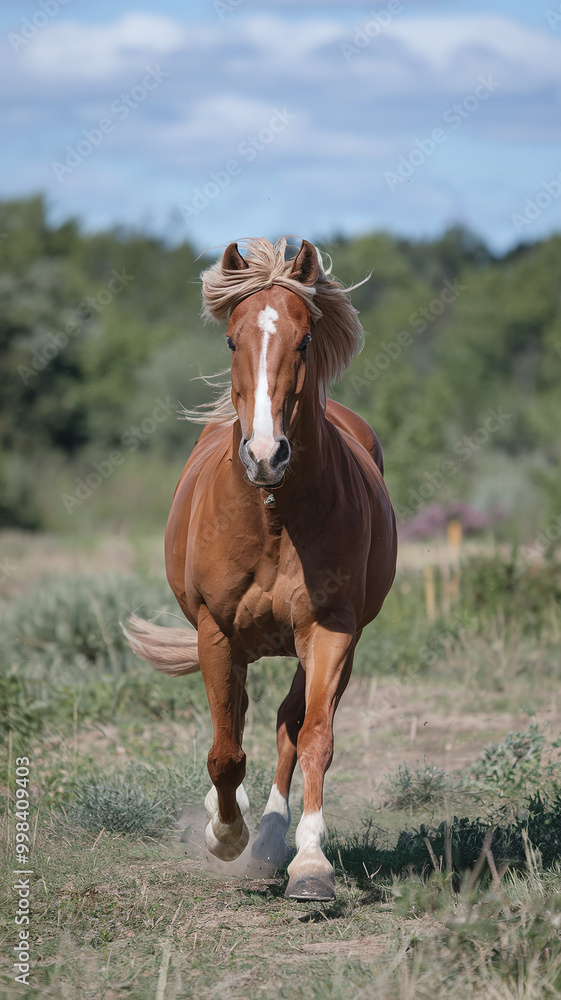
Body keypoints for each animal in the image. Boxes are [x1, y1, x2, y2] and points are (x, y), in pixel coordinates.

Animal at [123, 237, 397, 901]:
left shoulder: (330, 629)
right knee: (242, 721)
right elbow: (225, 750)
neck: (274, 516)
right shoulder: (216, 631)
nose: (267, 454)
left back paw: (274, 839)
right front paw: (224, 836)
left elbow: (314, 737)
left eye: (304, 340)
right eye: (231, 340)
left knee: (287, 723)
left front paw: (311, 865)